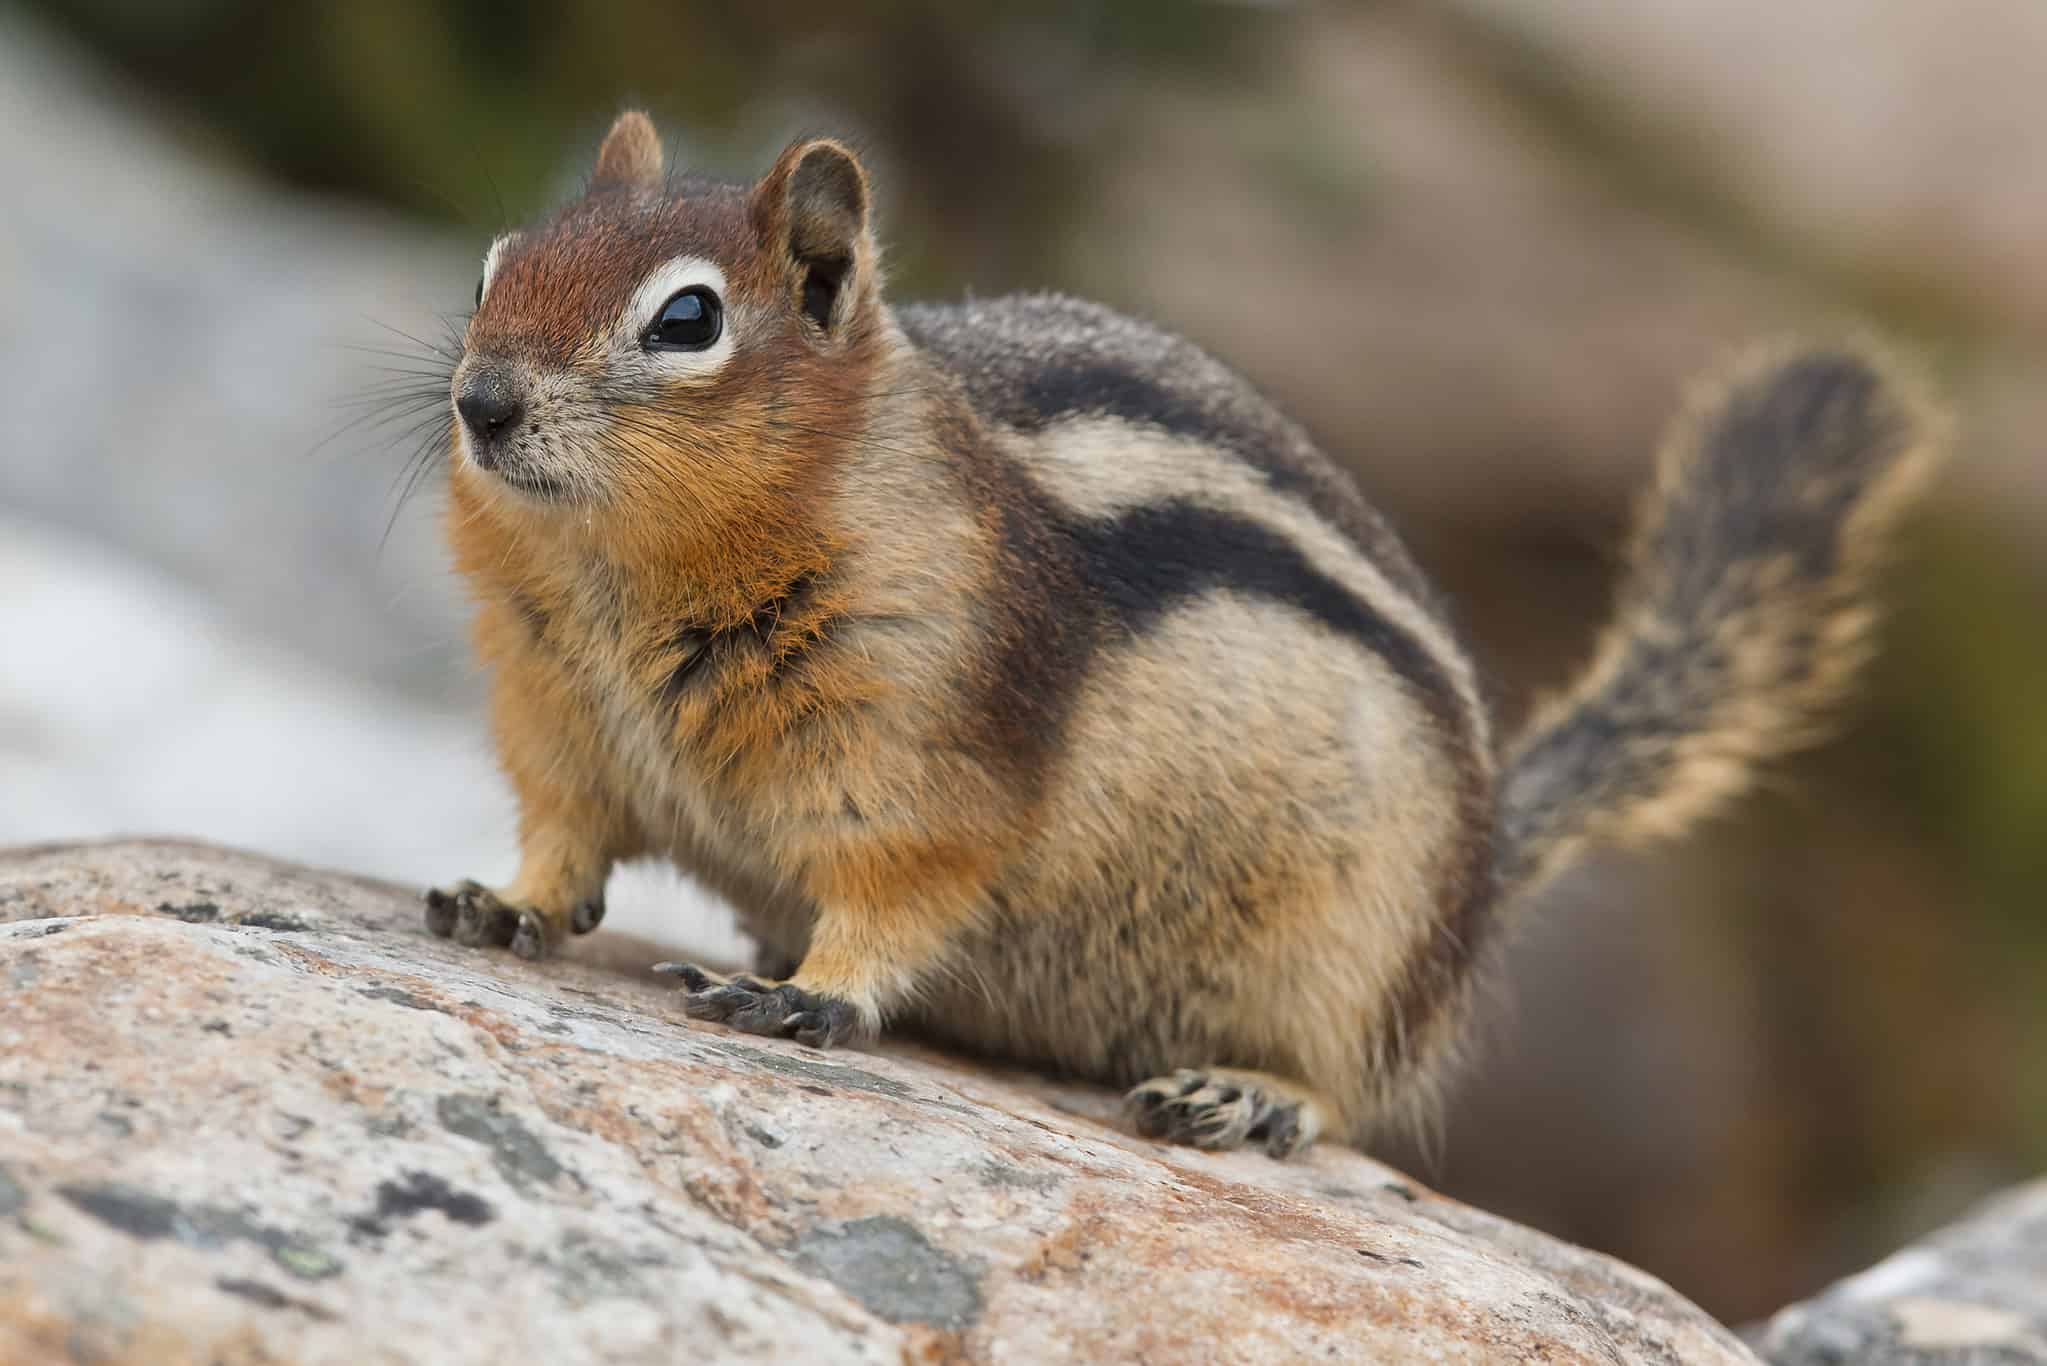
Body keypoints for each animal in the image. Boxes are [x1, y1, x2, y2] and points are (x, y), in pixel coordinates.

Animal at [419, 110, 1946, 1158]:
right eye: (495, 265)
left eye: (686, 318)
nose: (481, 402)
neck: (621, 579)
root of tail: (1480, 870)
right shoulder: (559, 722)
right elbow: (567, 841)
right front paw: (500, 900)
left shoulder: (926, 750)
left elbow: (901, 892)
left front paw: (813, 996)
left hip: (1348, 947)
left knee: (1352, 1084)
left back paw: (1243, 1092)